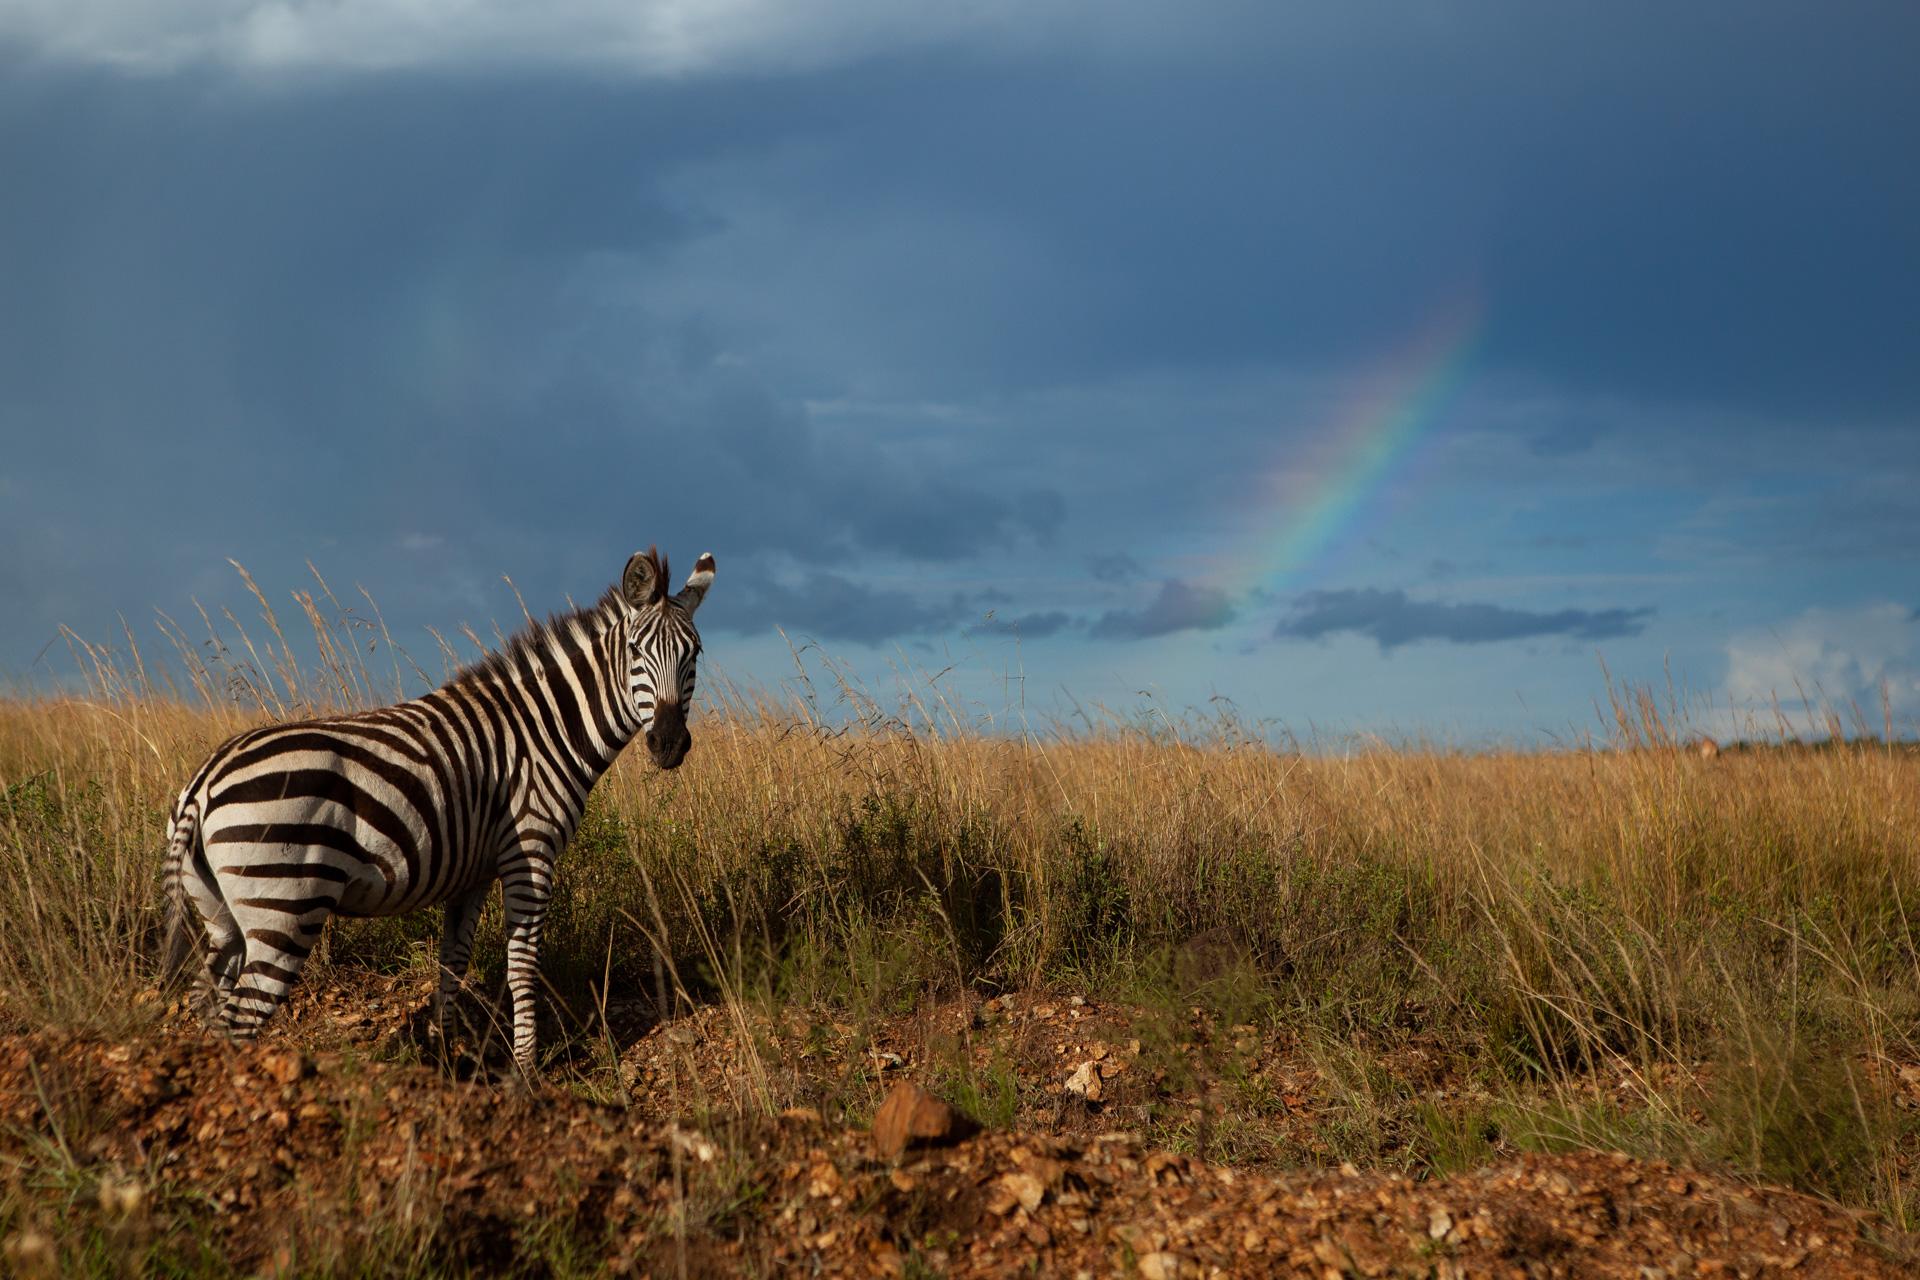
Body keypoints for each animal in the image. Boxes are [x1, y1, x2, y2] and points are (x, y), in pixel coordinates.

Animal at [161, 548, 718, 1074]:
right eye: (636, 652)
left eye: (694, 653)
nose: (669, 744)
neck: (544, 731)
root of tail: (204, 784)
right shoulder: (530, 853)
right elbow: (522, 964)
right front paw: (525, 1071)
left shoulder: (473, 871)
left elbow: (454, 960)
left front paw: (447, 1054)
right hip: (283, 908)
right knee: (238, 1022)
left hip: (223, 918)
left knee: (207, 1002)